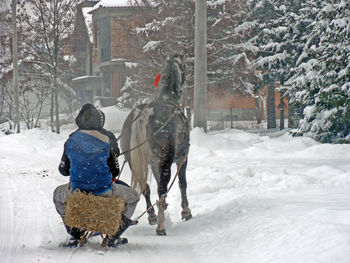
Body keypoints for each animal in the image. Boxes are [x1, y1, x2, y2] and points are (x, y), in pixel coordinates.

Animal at [119, 54, 191, 236]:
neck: (167, 97)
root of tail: (144, 114)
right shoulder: (182, 158)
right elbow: (182, 184)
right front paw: (186, 212)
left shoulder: (153, 163)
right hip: (165, 162)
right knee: (162, 189)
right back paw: (161, 227)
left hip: (134, 162)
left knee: (146, 188)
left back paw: (153, 216)